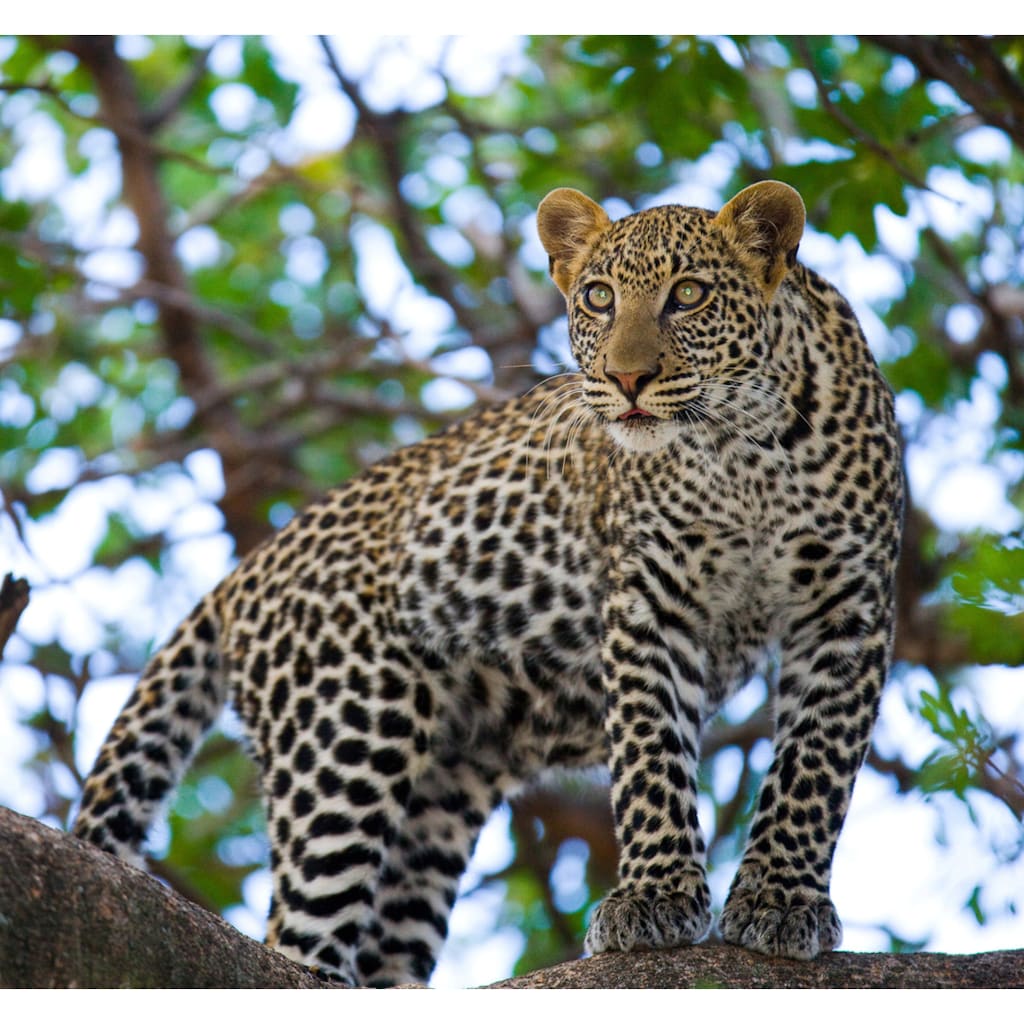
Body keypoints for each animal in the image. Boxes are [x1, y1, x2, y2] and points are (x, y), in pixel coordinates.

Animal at [74, 180, 905, 987]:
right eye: (598, 297)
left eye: (690, 294)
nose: (626, 378)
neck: (744, 450)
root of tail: (243, 575)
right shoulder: (650, 603)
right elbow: (652, 755)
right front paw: (654, 898)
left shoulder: (848, 607)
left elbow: (815, 766)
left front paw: (780, 900)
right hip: (345, 739)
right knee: (296, 932)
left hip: (439, 800)